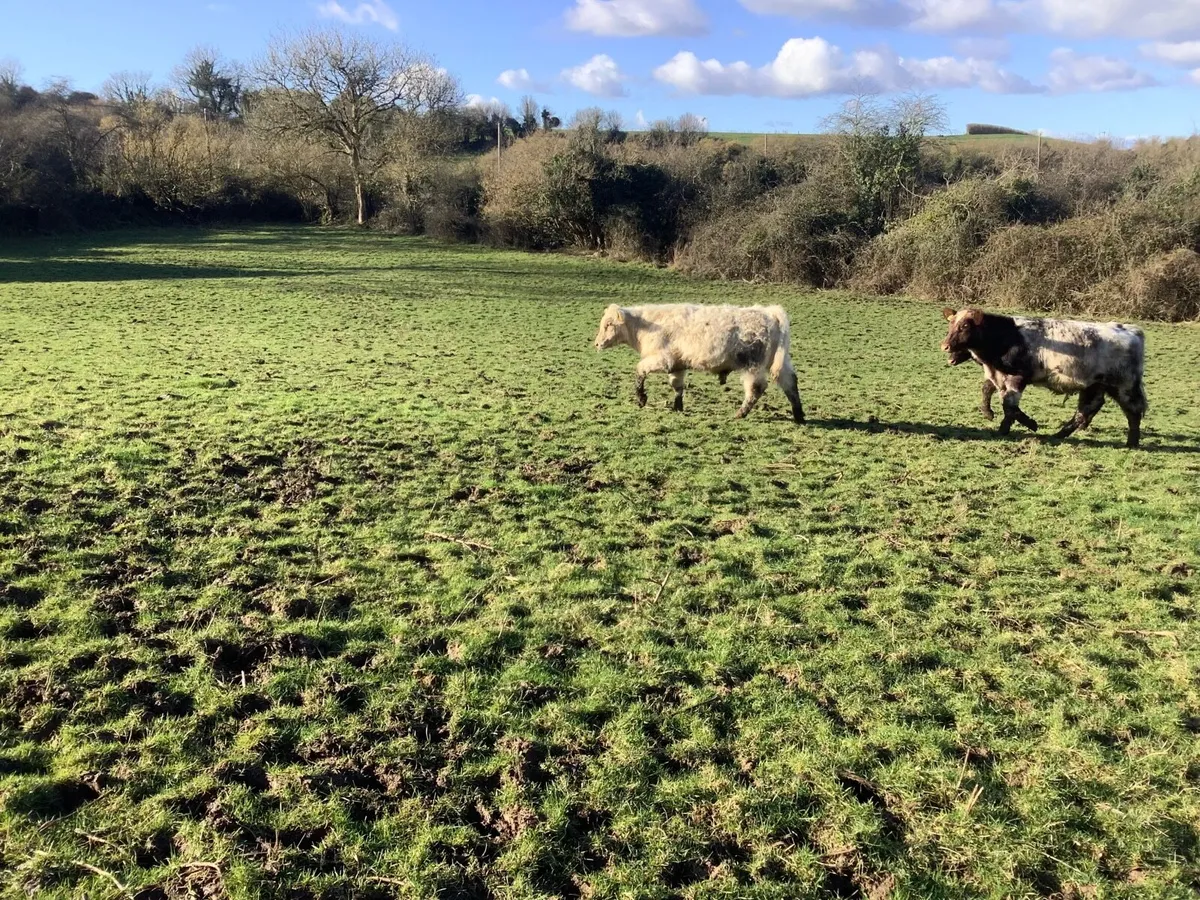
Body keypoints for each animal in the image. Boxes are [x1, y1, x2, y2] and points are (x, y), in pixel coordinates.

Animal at [594, 303, 805, 422]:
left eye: (608, 324)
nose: (596, 343)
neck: (645, 326)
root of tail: (769, 312)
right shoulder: (677, 365)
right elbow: (677, 386)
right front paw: (677, 407)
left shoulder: (662, 359)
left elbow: (640, 371)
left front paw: (641, 398)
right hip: (779, 364)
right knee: (790, 383)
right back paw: (799, 415)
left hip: (752, 365)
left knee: (756, 389)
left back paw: (740, 413)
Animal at [940, 307, 1147, 448]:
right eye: (951, 324)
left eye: (964, 326)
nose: (945, 346)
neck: (1005, 337)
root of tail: (1131, 330)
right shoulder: (998, 376)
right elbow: (991, 393)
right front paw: (991, 414)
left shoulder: (1015, 378)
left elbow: (1009, 406)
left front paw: (1013, 427)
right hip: (1095, 385)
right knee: (1087, 409)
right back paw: (1061, 433)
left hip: (1124, 386)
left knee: (1133, 411)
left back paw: (1132, 442)